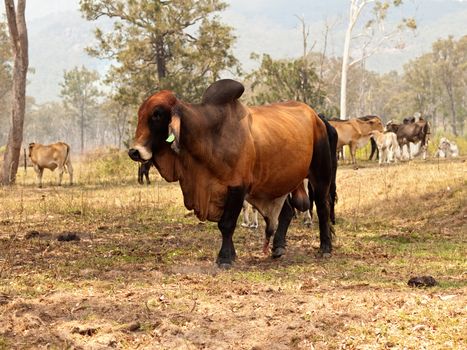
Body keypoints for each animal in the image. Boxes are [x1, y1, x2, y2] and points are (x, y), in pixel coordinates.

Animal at [130, 79, 334, 268]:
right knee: (288, 212)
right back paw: (278, 247)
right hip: (275, 183)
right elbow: (224, 224)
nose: (134, 152)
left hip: (320, 175)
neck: (209, 135)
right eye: (140, 114)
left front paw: (225, 258)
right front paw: (232, 254)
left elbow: (226, 224)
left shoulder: (237, 187)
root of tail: (316, 117)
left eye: (157, 114)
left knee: (322, 207)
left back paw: (325, 248)